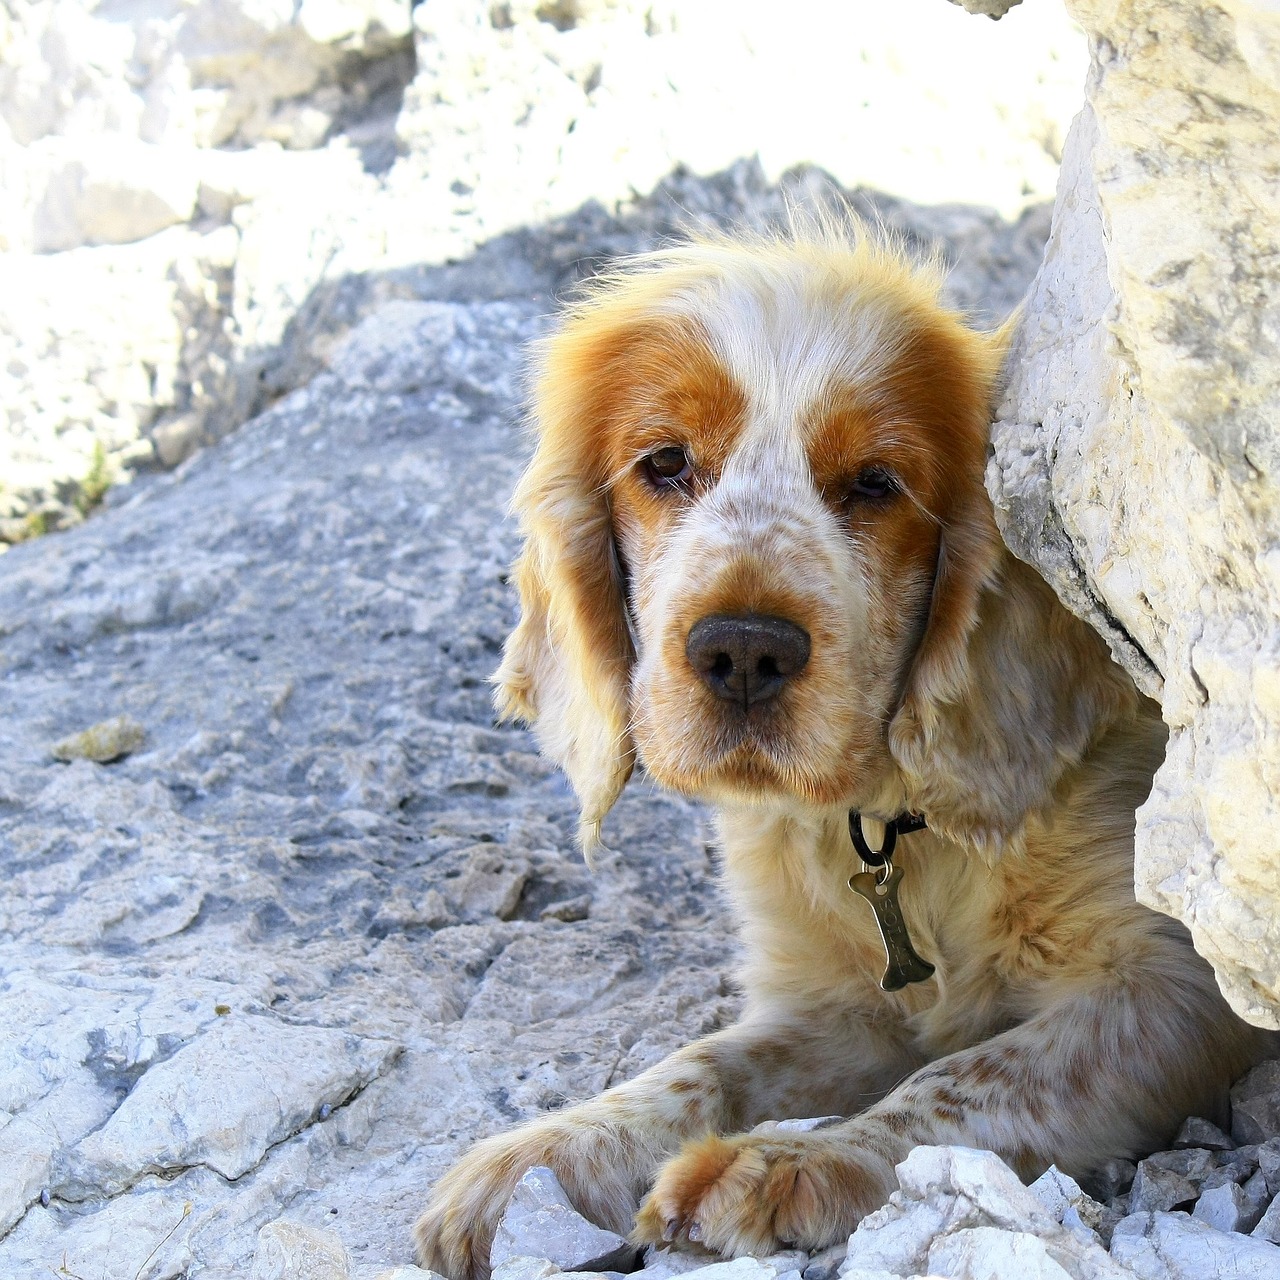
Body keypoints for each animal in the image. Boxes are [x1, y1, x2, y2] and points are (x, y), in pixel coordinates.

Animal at [414, 225, 1274, 1274]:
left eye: (876, 483)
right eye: (664, 462)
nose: (744, 651)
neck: (893, 825)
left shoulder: (1172, 990)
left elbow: (971, 1077)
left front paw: (786, 1162)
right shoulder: (827, 1004)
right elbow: (705, 1061)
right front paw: (540, 1152)